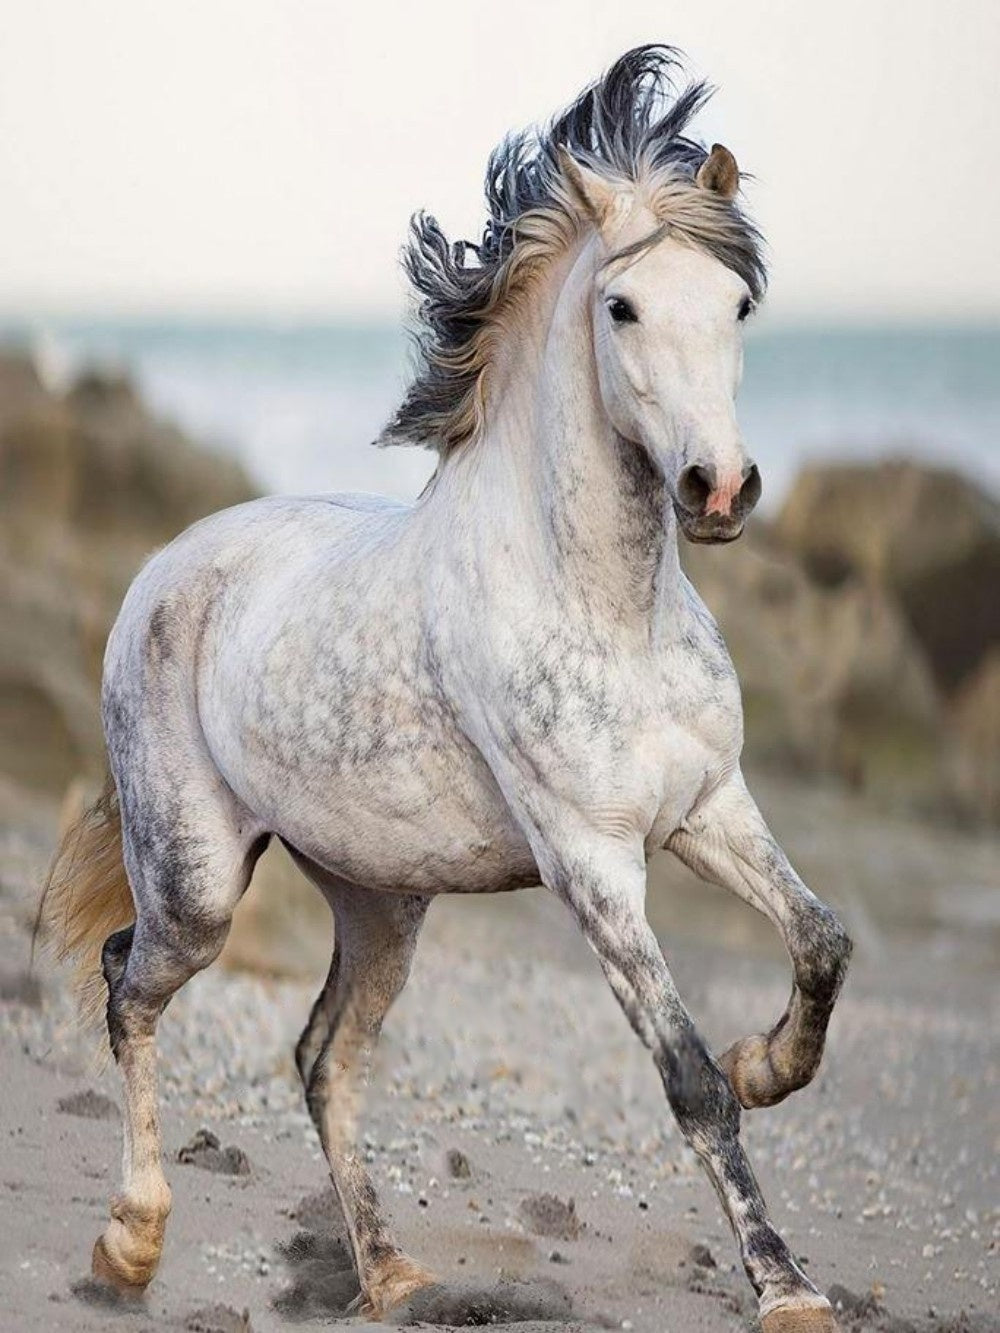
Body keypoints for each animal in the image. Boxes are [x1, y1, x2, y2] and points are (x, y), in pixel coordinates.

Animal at [43, 45, 851, 1332]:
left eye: (735, 305)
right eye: (621, 307)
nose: (718, 489)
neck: (605, 606)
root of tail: (167, 566)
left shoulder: (708, 806)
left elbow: (822, 942)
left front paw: (766, 1063)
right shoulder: (590, 865)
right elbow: (686, 1084)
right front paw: (782, 1285)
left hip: (382, 901)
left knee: (323, 1057)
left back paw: (391, 1274)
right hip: (198, 879)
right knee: (128, 982)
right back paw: (130, 1242)